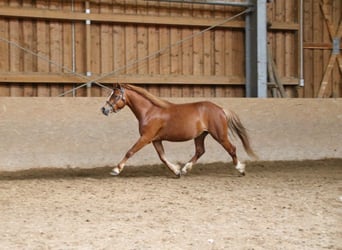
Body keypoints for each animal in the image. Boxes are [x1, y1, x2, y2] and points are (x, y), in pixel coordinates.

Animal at [100, 83, 255, 177]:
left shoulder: (146, 138)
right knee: (200, 151)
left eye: (115, 95)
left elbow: (130, 151)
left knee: (232, 149)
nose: (104, 109)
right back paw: (185, 168)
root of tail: (220, 109)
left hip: (219, 135)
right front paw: (176, 171)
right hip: (200, 135)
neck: (149, 111)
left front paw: (116, 169)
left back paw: (240, 169)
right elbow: (162, 157)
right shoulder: (156, 140)